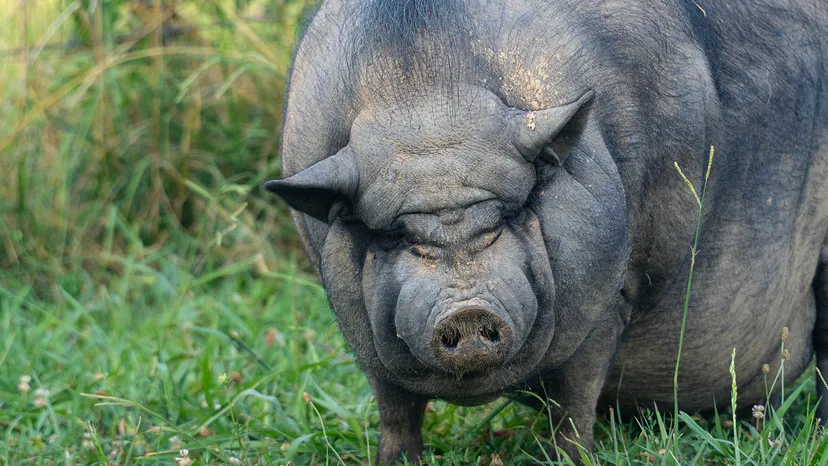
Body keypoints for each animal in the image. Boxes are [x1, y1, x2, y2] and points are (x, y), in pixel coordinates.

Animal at [264, 0, 828, 463]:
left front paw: (571, 458)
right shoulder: (364, 340)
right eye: (396, 237)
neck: (425, 93)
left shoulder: (606, 301)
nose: (467, 311)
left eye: (512, 213)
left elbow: (573, 404)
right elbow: (396, 410)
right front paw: (395, 461)